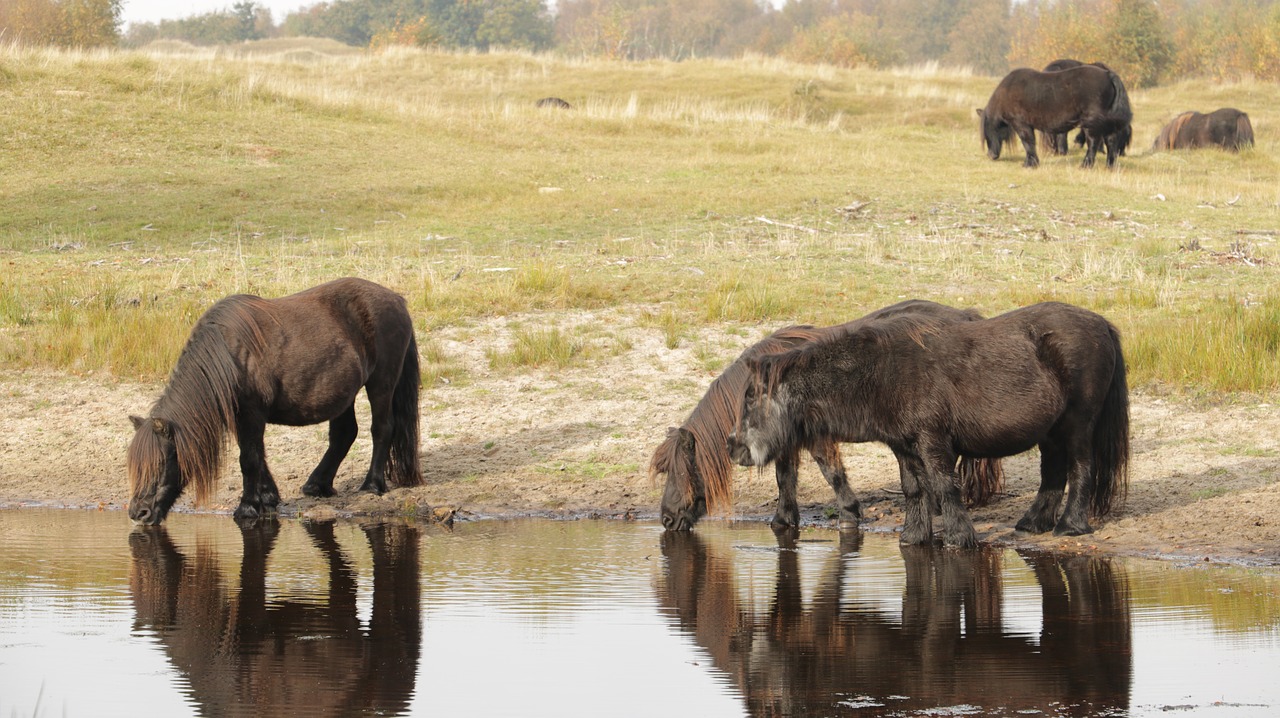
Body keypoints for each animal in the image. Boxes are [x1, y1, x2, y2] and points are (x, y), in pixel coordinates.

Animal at [124, 277, 417, 524]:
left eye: (160, 464)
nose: (139, 513)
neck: (229, 355)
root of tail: (396, 300)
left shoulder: (252, 414)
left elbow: (249, 459)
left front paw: (247, 507)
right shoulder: (242, 418)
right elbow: (257, 454)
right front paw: (267, 498)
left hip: (381, 383)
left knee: (381, 429)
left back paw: (372, 485)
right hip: (345, 394)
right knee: (344, 434)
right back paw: (317, 485)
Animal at [655, 298, 1003, 532]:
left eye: (678, 470)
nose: (667, 519)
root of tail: (966, 316)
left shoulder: (816, 437)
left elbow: (831, 472)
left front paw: (849, 514)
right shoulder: (785, 442)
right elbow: (785, 478)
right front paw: (783, 519)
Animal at [732, 299, 1131, 545]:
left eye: (750, 399)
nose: (733, 448)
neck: (881, 372)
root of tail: (1101, 324)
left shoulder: (932, 440)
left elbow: (943, 485)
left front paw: (958, 537)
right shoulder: (903, 446)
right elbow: (914, 489)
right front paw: (913, 537)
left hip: (1077, 424)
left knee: (1081, 469)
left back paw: (1069, 527)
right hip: (1050, 432)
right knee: (1054, 472)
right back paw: (1033, 524)